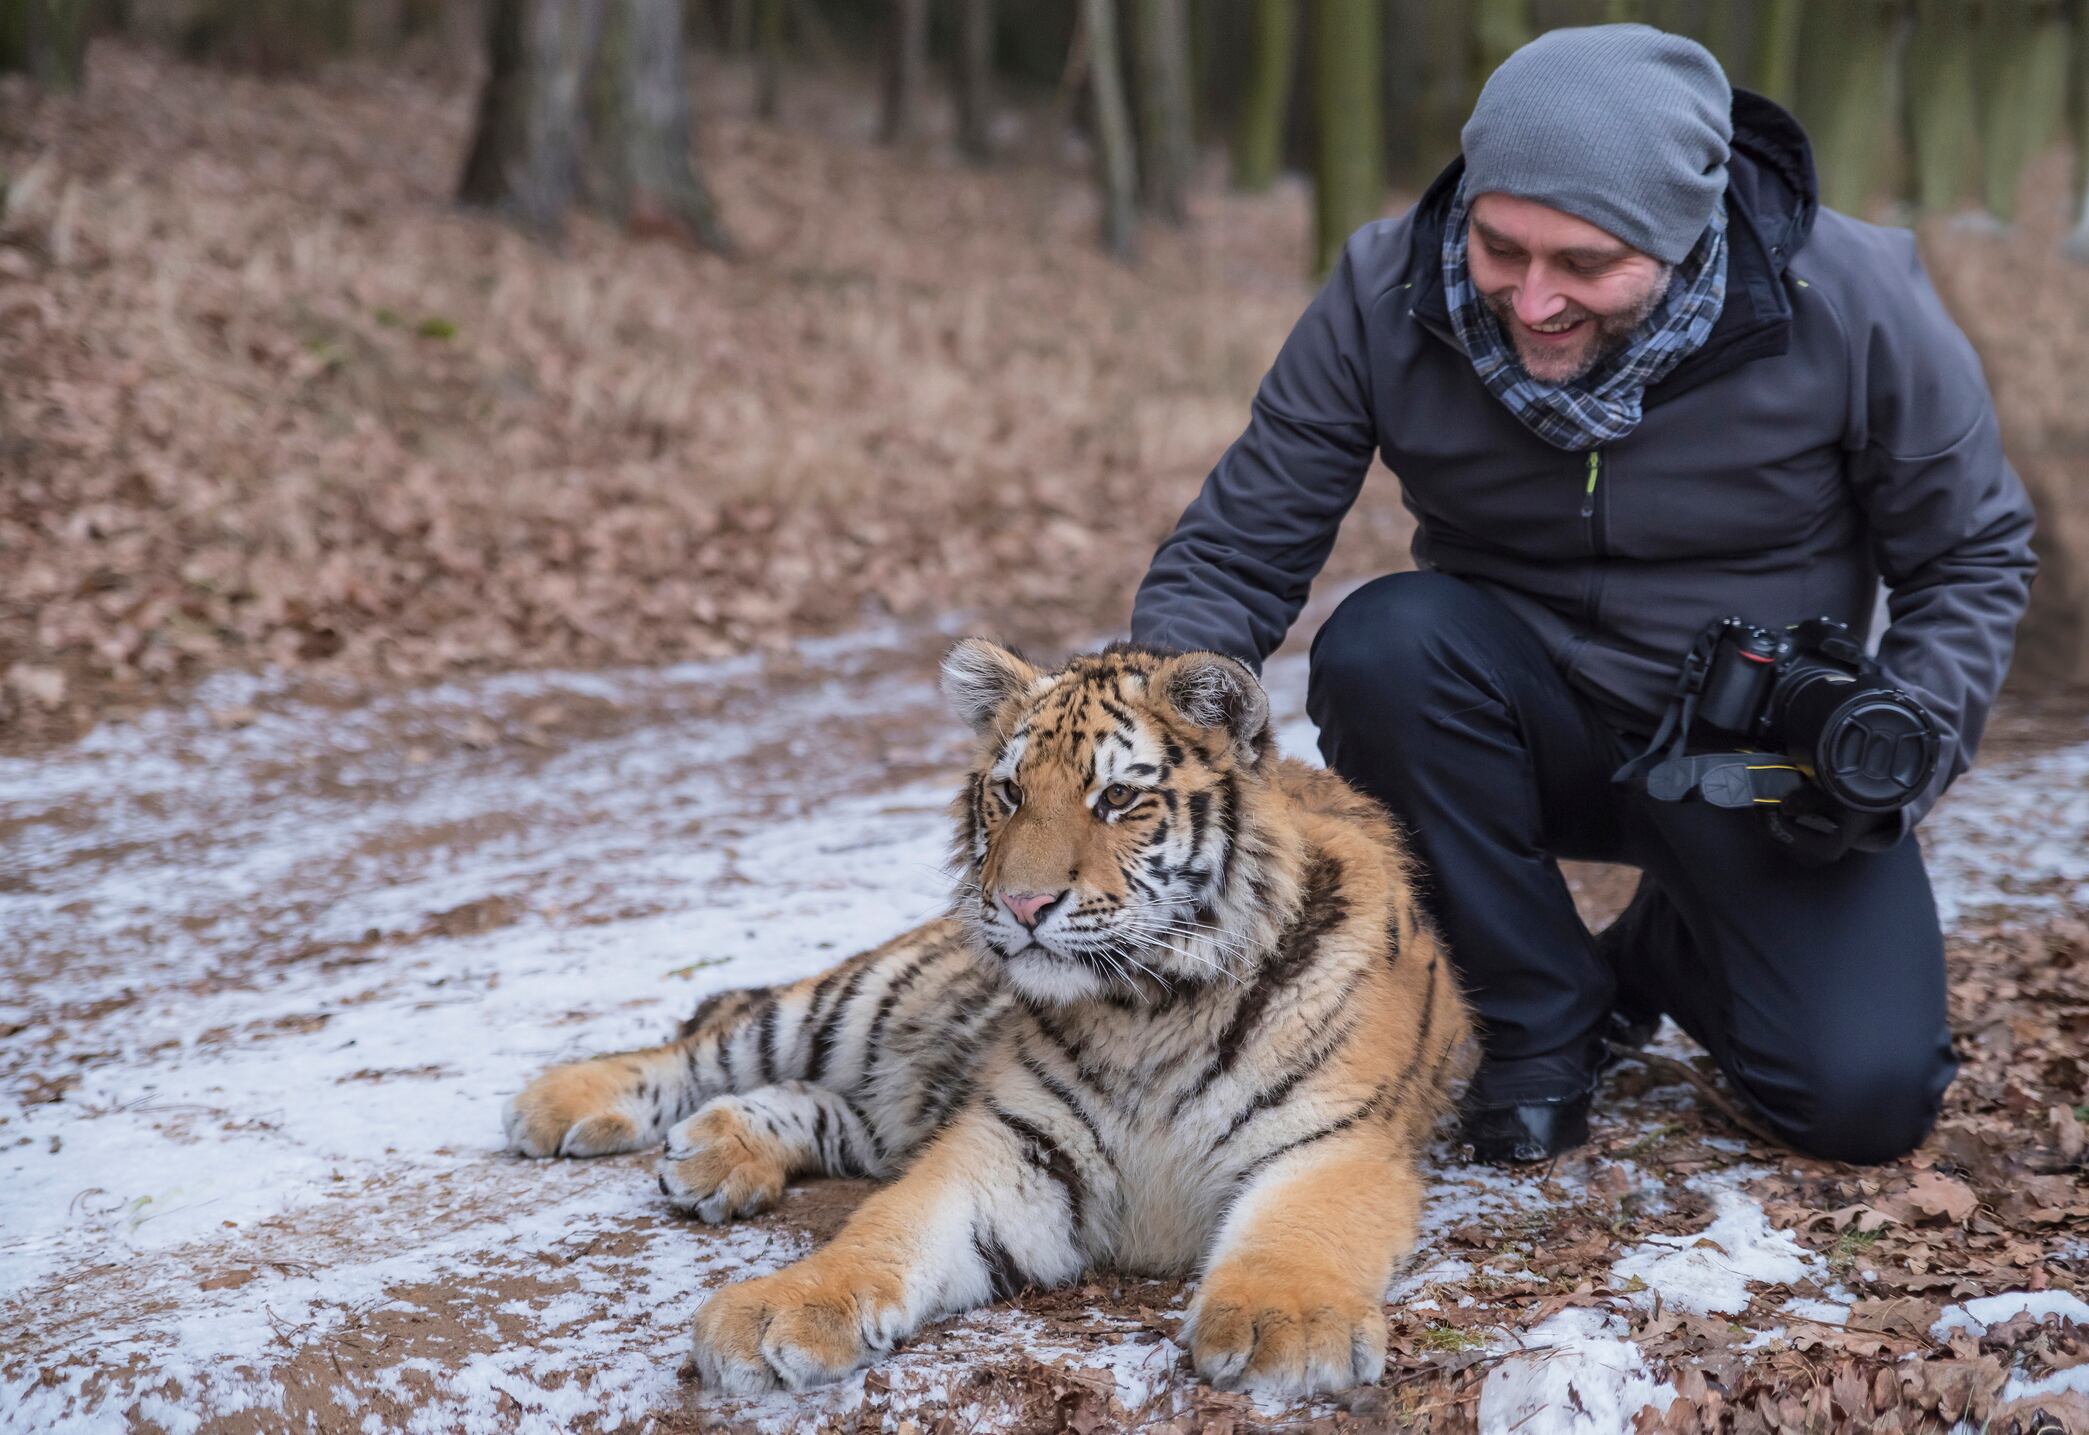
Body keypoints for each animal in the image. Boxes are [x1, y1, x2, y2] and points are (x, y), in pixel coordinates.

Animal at [503, 639, 1474, 1399]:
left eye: (1116, 799)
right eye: (1007, 793)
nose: (1021, 903)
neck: (1151, 1005)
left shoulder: (1336, 1141)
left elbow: (1298, 1232)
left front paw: (1287, 1326)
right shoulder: (1012, 1142)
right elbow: (886, 1227)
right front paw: (775, 1310)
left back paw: (719, 1153)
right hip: (855, 1002)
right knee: (718, 1038)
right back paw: (559, 1101)